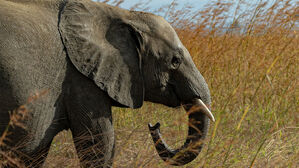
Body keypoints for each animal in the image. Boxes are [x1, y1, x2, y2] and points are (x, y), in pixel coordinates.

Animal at [0, 0, 216, 167]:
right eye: (175, 61)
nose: (154, 125)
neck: (122, 15)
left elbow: (34, 155)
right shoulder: (80, 80)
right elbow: (99, 143)